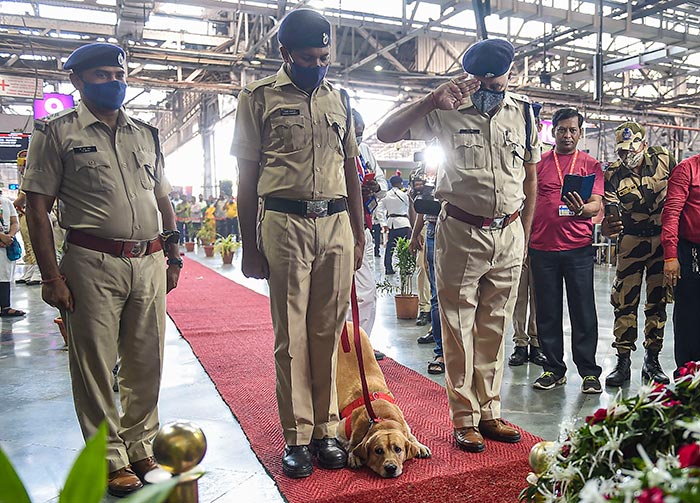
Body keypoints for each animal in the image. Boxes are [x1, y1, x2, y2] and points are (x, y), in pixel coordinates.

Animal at [334, 324, 432, 478]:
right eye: (378, 451)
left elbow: (411, 436)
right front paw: (353, 455)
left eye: (398, 449)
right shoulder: (340, 428)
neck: (381, 418)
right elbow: (349, 444)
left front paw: (419, 445)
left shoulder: (404, 424)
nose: (391, 468)